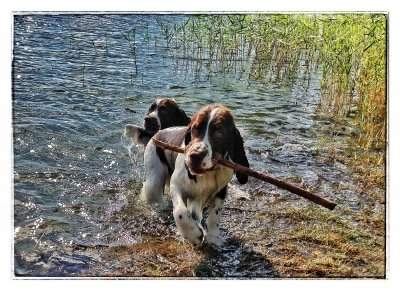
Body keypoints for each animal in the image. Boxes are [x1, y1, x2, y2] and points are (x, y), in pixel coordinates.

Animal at [144, 105, 250, 246]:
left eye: (219, 131)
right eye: (194, 128)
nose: (195, 156)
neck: (208, 173)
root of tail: (160, 131)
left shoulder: (220, 190)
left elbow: (214, 215)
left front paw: (213, 236)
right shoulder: (176, 185)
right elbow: (180, 212)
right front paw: (193, 234)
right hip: (154, 180)